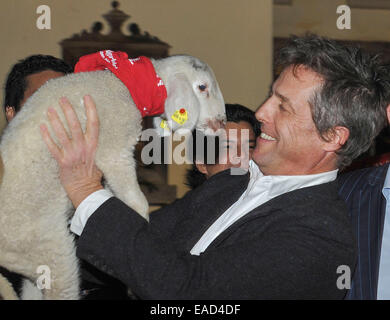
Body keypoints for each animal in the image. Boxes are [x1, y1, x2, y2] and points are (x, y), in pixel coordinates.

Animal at [0, 55, 225, 300]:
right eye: (202, 87)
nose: (221, 122)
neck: (126, 83)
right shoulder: (115, 147)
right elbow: (137, 199)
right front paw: (140, 221)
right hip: (50, 252)